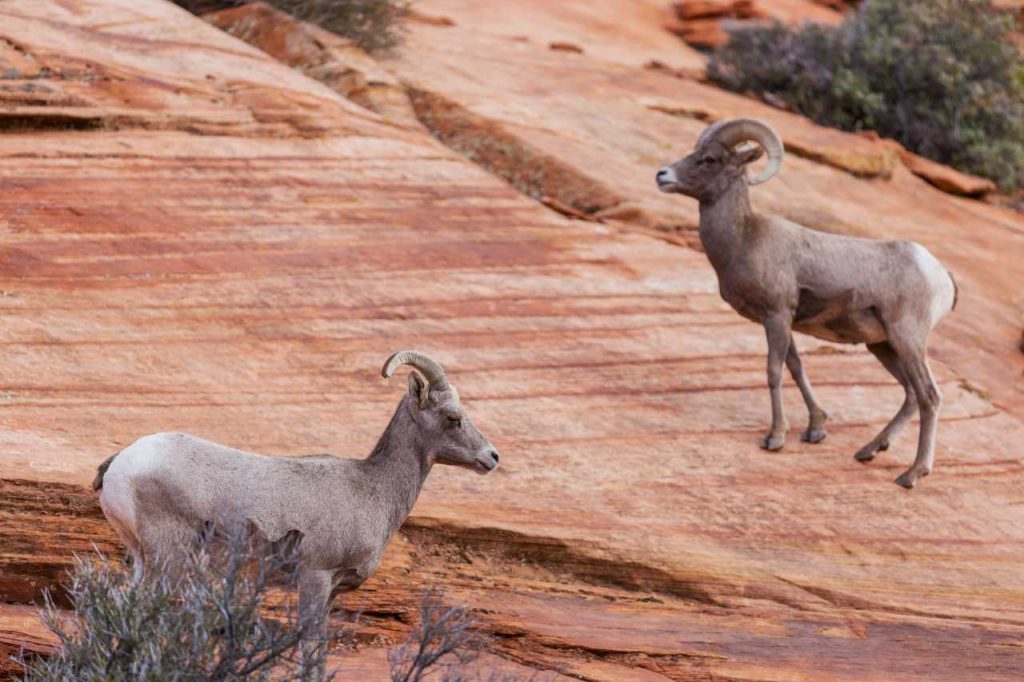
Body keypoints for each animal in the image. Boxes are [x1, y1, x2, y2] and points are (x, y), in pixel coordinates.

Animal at [94, 350, 500, 632]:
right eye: (453, 417)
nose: (492, 457)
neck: (372, 489)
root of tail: (121, 462)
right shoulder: (315, 577)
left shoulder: (332, 590)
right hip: (168, 557)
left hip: (142, 557)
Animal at [656, 119, 957, 488]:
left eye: (710, 159)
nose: (663, 175)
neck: (744, 239)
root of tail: (941, 276)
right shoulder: (782, 321)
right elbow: (796, 367)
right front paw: (816, 429)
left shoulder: (776, 315)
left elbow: (774, 371)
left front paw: (775, 438)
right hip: (883, 346)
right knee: (912, 395)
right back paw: (869, 450)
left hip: (907, 340)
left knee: (929, 397)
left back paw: (911, 474)